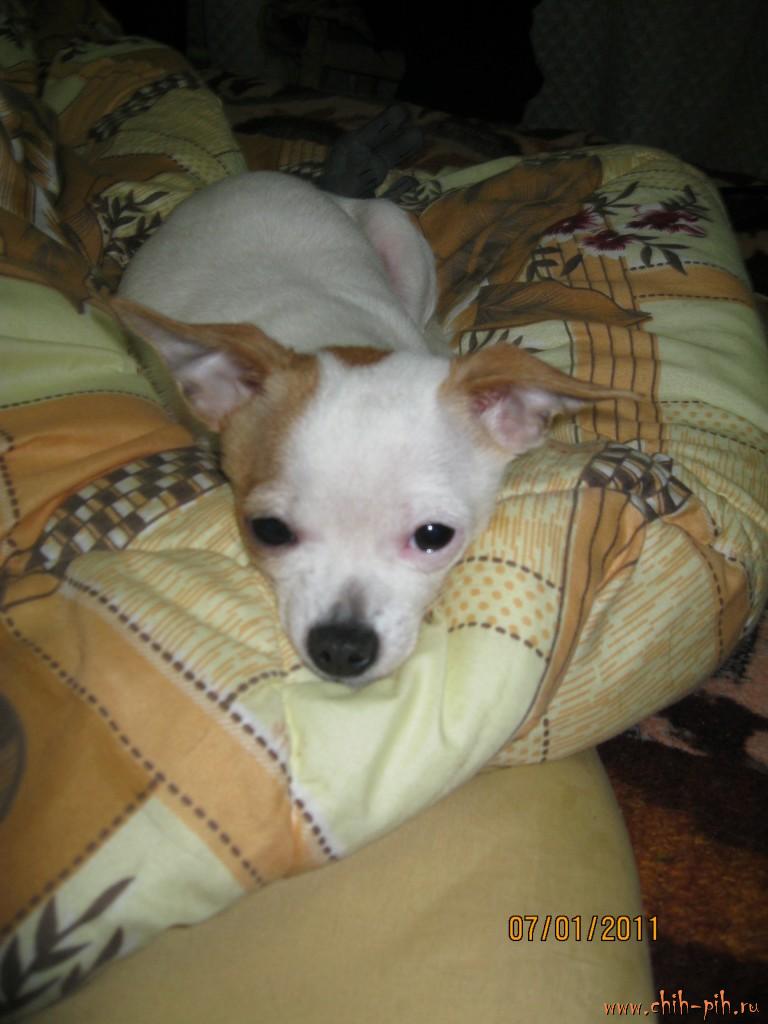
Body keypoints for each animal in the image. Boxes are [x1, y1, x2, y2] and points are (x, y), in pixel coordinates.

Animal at [111, 171, 628, 686]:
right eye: (269, 531)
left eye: (434, 537)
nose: (341, 647)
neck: (341, 337)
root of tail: (247, 177)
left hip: (397, 233)